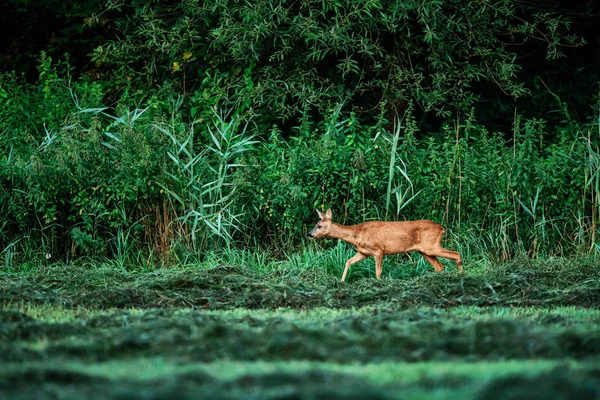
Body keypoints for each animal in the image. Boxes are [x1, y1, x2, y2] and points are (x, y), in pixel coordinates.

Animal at [308, 209, 462, 282]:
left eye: (319, 225)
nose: (309, 234)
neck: (358, 234)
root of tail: (441, 228)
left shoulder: (378, 250)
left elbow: (378, 271)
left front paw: (378, 284)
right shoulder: (363, 252)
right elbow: (348, 262)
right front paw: (341, 281)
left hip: (431, 246)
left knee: (456, 254)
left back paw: (461, 275)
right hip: (425, 250)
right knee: (439, 266)